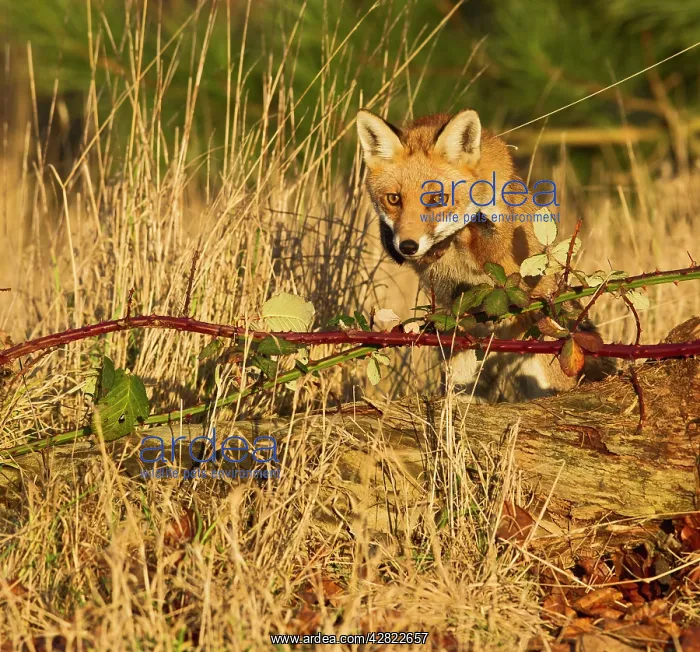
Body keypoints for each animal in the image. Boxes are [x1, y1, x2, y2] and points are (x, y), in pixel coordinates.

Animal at [356, 108, 597, 402]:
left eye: (436, 199)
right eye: (393, 199)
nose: (409, 246)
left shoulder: (503, 241)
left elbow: (479, 232)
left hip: (547, 368)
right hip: (466, 365)